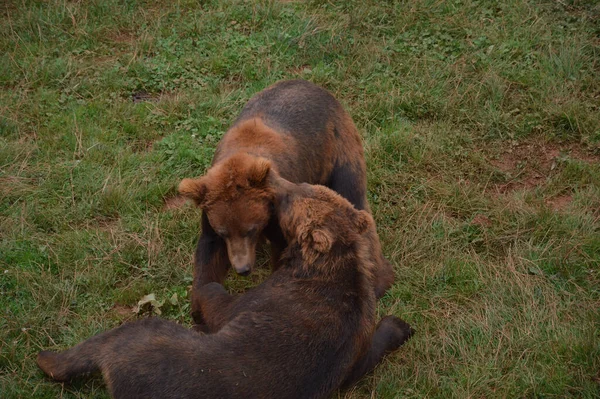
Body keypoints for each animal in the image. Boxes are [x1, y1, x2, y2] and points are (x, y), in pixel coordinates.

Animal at [37, 175, 412, 399]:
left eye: (291, 200)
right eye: (303, 186)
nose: (277, 183)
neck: (332, 265)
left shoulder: (266, 300)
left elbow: (221, 303)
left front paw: (204, 290)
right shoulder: (352, 348)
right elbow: (370, 349)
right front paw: (399, 326)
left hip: (146, 345)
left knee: (109, 340)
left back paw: (49, 358)